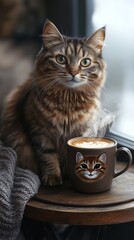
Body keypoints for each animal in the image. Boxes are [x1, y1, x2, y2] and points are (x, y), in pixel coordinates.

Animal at [0, 19, 105, 187]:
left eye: (85, 62)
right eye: (61, 59)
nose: (73, 72)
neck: (68, 100)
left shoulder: (83, 131)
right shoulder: (40, 133)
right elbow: (48, 157)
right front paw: (52, 176)